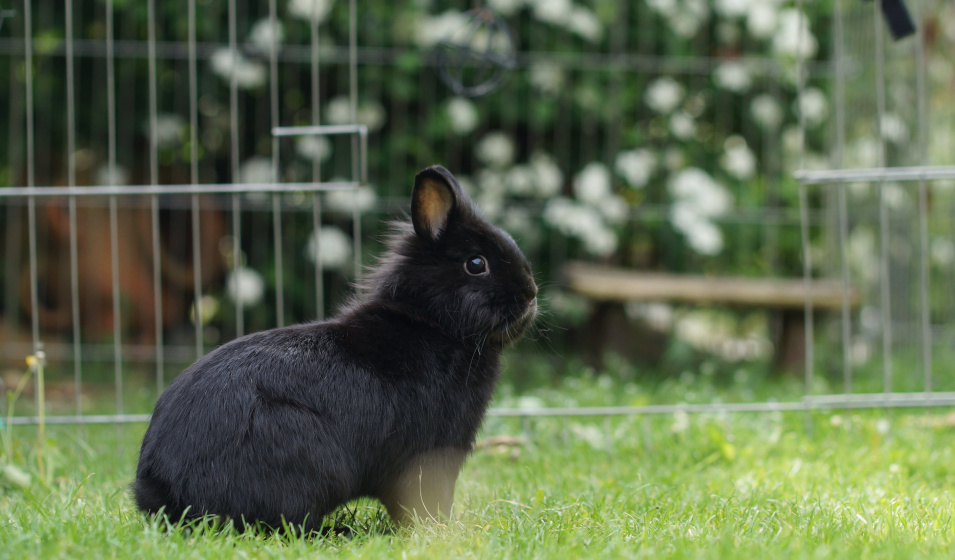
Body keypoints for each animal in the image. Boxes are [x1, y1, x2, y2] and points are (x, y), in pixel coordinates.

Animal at [132, 165, 538, 531]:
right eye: (476, 263)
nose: (531, 294)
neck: (435, 323)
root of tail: (163, 488)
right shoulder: (432, 455)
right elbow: (425, 502)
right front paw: (442, 531)